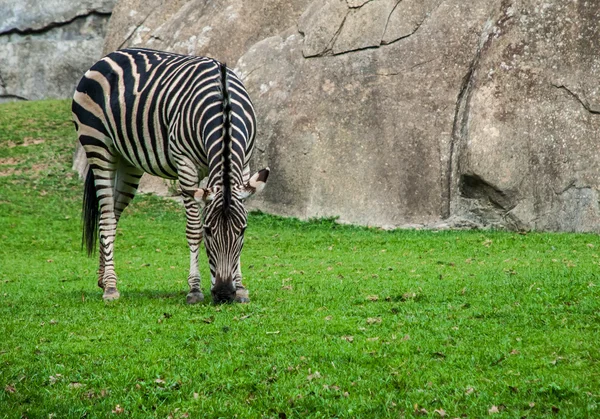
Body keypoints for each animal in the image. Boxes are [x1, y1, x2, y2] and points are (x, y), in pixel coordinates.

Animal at [71, 48, 270, 306]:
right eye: (208, 230)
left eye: (242, 231)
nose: (225, 293)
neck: (223, 108)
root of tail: (109, 55)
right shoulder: (185, 164)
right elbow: (192, 229)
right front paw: (194, 289)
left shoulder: (244, 165)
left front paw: (242, 287)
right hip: (98, 146)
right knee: (106, 218)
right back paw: (111, 288)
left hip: (127, 160)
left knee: (113, 215)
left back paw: (103, 280)